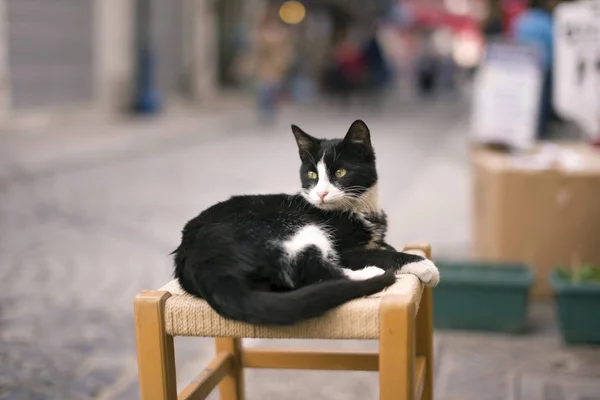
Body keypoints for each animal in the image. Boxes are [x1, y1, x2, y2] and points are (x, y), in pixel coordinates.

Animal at [171, 119, 438, 324]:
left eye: (340, 172)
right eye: (312, 174)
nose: (321, 193)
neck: (358, 209)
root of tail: (197, 259)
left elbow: (383, 246)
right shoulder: (345, 249)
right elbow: (378, 253)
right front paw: (424, 265)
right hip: (291, 227)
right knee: (312, 271)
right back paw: (370, 274)